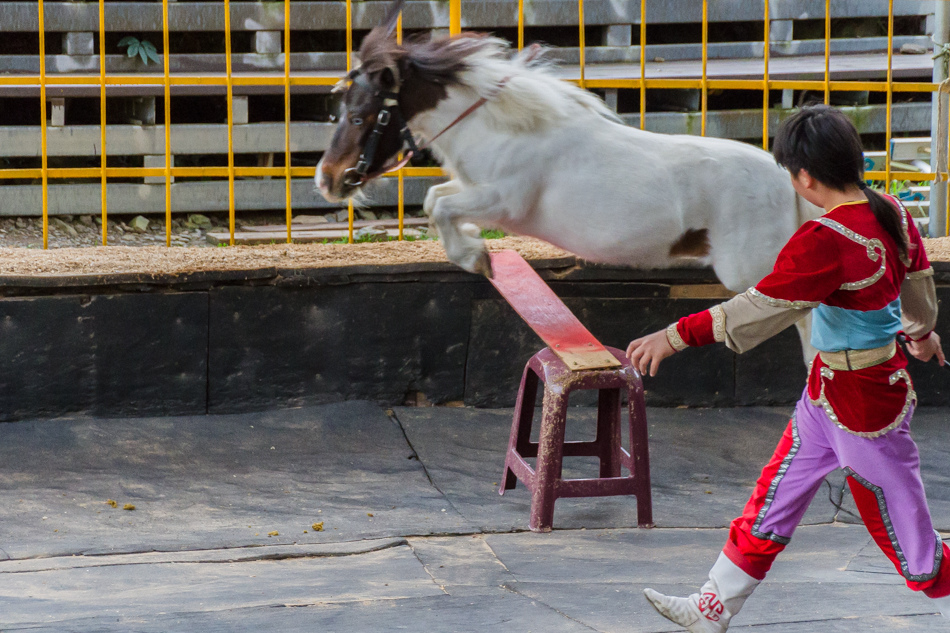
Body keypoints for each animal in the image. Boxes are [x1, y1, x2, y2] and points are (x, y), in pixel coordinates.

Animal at [316, 0, 820, 358]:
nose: (327, 179)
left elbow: (441, 206)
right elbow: (435, 199)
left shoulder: (507, 202)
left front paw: (477, 257)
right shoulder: (474, 188)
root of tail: (786, 181)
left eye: (360, 116)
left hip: (753, 271)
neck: (505, 128)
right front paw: (475, 247)